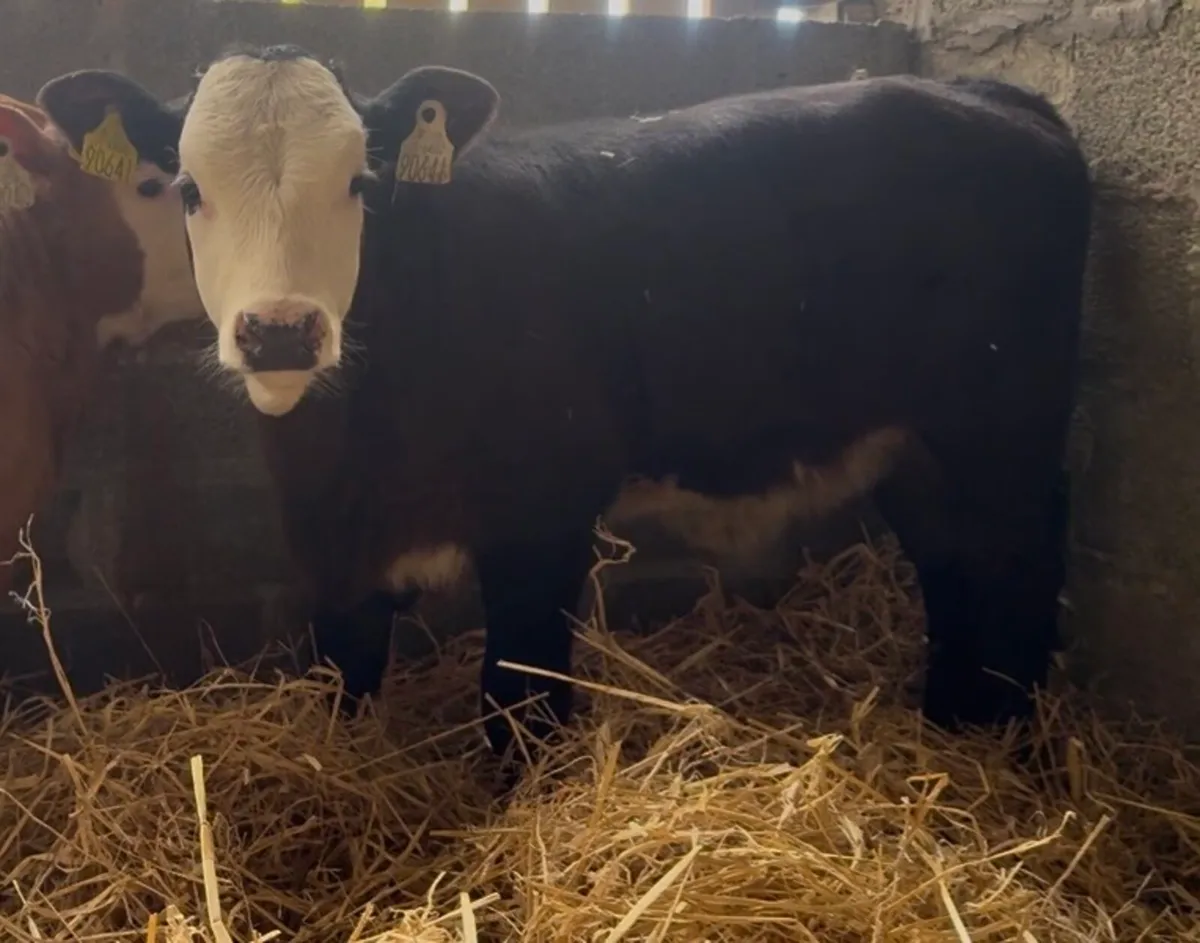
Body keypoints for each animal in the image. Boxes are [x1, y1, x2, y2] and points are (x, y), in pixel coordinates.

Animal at [38, 51, 1092, 763]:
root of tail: (991, 97)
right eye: (185, 187)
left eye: (360, 180)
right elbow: (347, 681)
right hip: (920, 447)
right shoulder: (330, 546)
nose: (281, 332)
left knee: (1021, 571)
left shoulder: (541, 517)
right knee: (955, 570)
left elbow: (520, 697)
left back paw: (1008, 748)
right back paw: (953, 726)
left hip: (1004, 432)